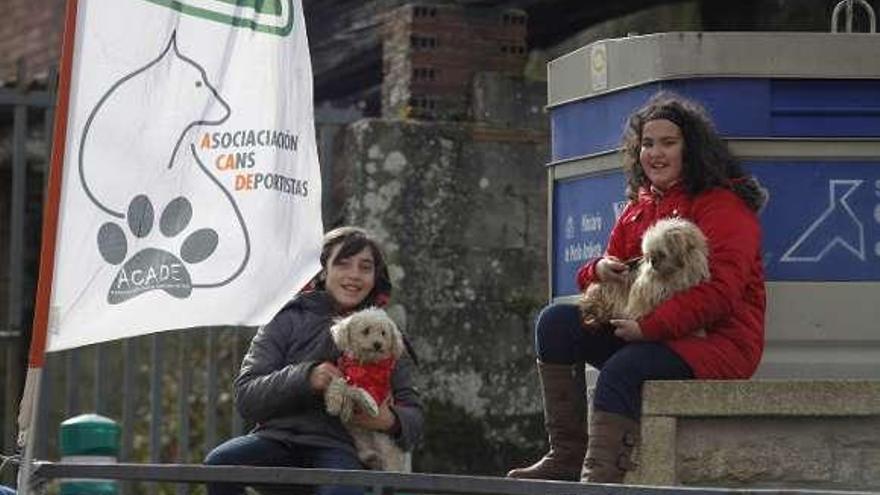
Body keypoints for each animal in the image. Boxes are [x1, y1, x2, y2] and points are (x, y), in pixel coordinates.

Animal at [324, 306, 408, 472]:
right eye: (366, 331)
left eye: (383, 333)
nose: (378, 344)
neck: (364, 365)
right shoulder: (344, 373)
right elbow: (338, 383)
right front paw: (335, 403)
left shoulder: (377, 390)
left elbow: (356, 391)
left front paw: (364, 404)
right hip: (363, 446)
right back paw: (371, 457)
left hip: (386, 446)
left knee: (390, 463)